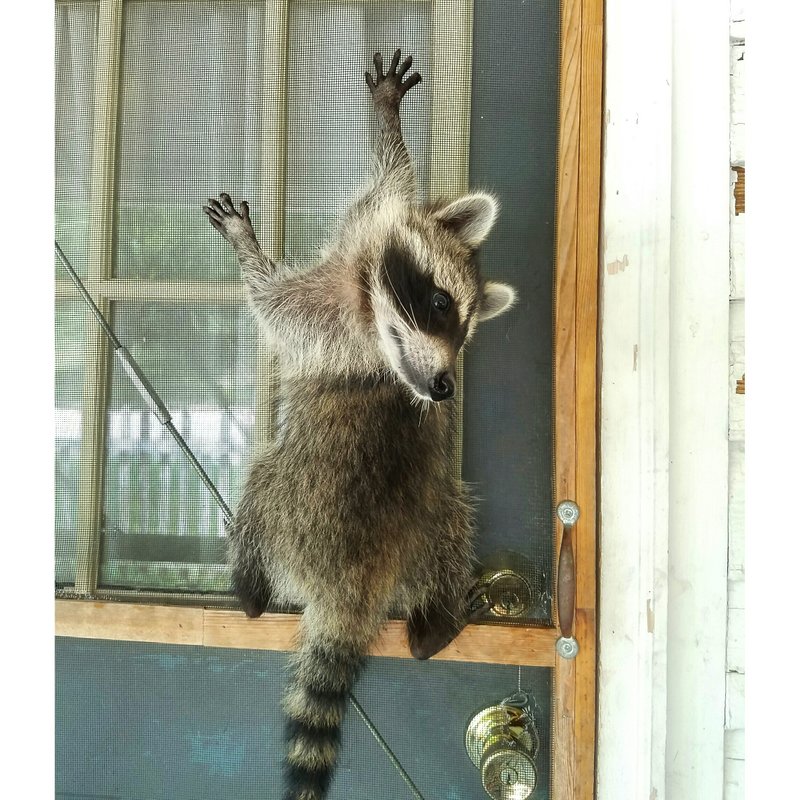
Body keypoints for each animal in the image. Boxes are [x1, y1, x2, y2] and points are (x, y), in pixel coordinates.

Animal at [203, 50, 516, 800]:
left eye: (463, 331)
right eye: (442, 307)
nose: (444, 386)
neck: (369, 293)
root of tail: (351, 586)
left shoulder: (325, 314)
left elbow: (275, 296)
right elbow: (393, 185)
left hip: (282, 502)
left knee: (259, 486)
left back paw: (249, 587)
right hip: (436, 524)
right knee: (452, 522)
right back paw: (436, 625)